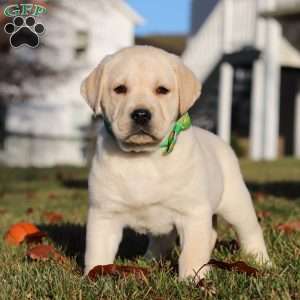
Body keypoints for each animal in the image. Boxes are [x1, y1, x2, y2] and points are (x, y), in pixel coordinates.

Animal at [81, 45, 270, 280]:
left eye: (162, 90)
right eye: (120, 89)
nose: (141, 114)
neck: (143, 157)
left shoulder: (192, 213)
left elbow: (192, 251)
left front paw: (192, 278)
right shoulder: (104, 213)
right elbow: (97, 250)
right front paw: (93, 276)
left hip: (235, 202)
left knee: (249, 230)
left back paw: (261, 260)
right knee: (166, 239)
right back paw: (150, 260)